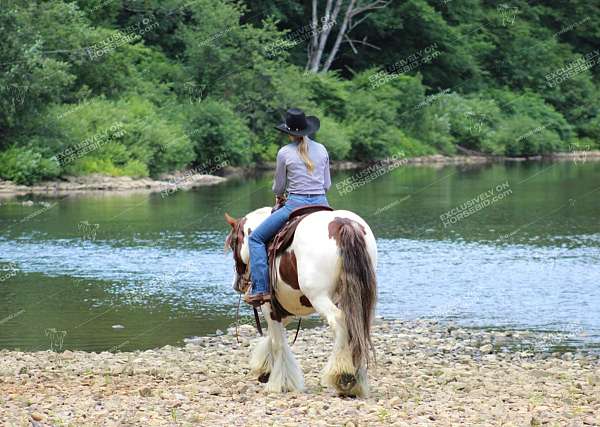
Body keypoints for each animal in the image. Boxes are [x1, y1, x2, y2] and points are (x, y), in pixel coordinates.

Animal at [225, 207, 376, 398]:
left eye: (233, 243)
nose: (237, 284)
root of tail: (343, 224)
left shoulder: (269, 307)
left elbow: (278, 343)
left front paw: (279, 383)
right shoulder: (286, 308)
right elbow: (272, 337)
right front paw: (266, 369)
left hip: (319, 297)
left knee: (339, 319)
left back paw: (342, 374)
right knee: (357, 326)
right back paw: (357, 378)